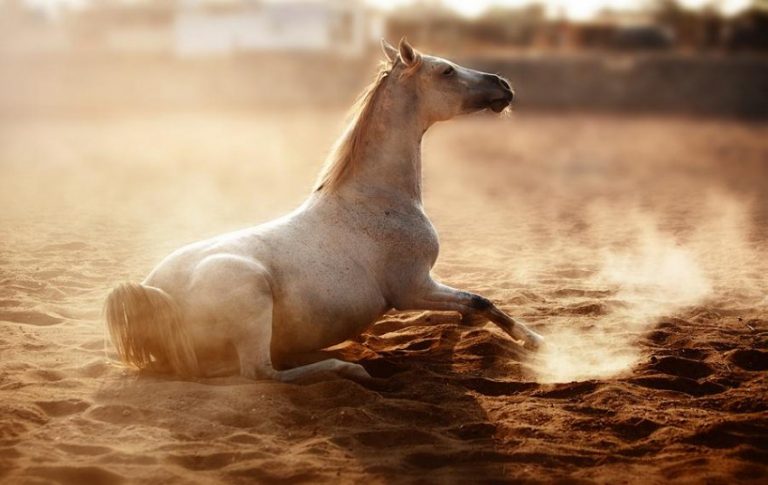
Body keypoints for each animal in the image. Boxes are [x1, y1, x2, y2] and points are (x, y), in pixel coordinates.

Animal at [105, 38, 544, 382]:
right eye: (447, 71)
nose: (504, 85)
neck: (377, 199)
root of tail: (156, 292)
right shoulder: (413, 287)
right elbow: (480, 301)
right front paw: (537, 342)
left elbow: (470, 307)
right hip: (251, 297)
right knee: (259, 372)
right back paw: (347, 368)